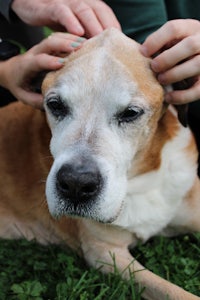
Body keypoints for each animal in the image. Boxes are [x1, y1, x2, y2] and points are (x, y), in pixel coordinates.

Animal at [0, 27, 200, 298]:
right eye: (55, 105)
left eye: (130, 113)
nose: (75, 184)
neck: (142, 179)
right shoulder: (105, 253)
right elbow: (172, 291)